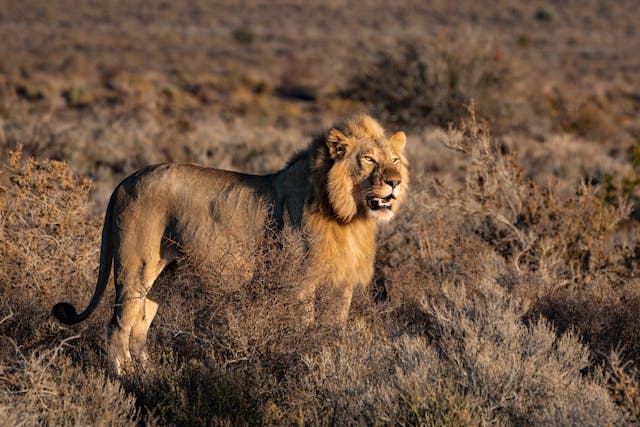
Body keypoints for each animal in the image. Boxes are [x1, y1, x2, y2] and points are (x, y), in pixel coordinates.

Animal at [53, 113, 409, 374]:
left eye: (394, 159)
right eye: (368, 159)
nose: (395, 182)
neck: (349, 217)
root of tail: (124, 182)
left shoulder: (341, 285)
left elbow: (333, 329)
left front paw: (330, 358)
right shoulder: (300, 284)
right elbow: (305, 328)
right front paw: (305, 361)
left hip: (163, 274)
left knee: (140, 326)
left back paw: (148, 375)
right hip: (134, 268)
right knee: (117, 326)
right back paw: (123, 378)